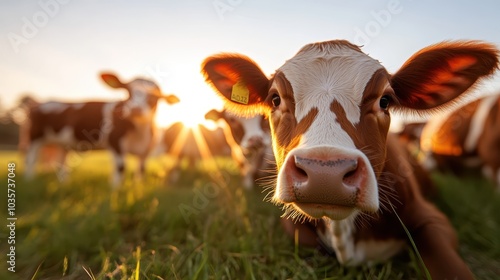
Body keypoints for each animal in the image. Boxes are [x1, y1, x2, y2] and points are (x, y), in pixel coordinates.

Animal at [23, 72, 181, 186]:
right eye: (128, 92)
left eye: (155, 96)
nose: (135, 109)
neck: (139, 132)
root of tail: (40, 103)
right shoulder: (115, 143)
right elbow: (121, 167)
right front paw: (116, 191)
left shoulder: (146, 151)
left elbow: (141, 171)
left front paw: (138, 189)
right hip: (35, 137)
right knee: (31, 159)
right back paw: (29, 181)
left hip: (64, 145)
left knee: (62, 164)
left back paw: (63, 183)